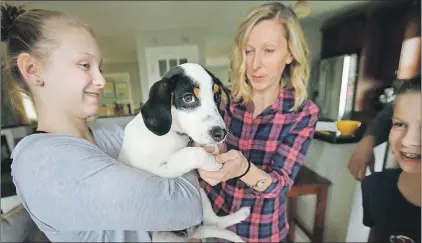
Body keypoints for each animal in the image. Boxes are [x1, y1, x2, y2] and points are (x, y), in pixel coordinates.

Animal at [117, 63, 251, 242]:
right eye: (188, 98)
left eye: (216, 97)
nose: (220, 134)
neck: (175, 132)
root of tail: (192, 232)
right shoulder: (159, 167)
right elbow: (191, 152)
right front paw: (212, 162)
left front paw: (213, 149)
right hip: (162, 235)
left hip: (201, 195)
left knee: (214, 222)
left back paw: (241, 214)